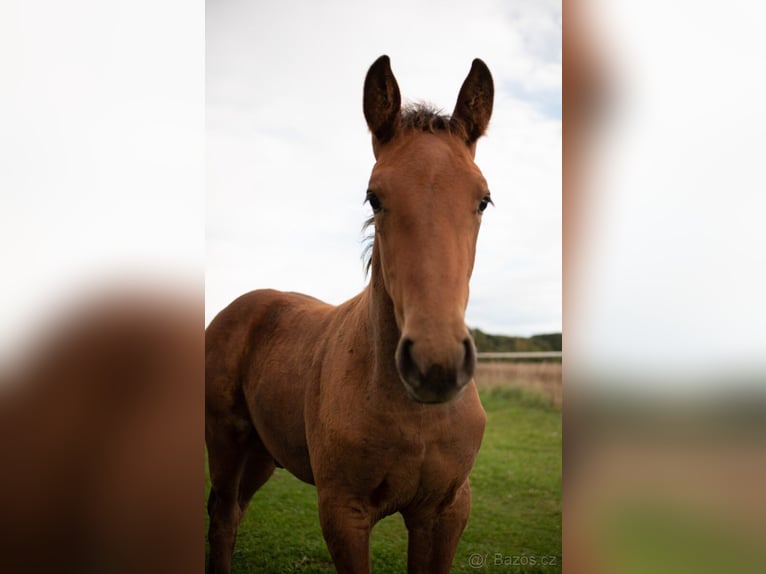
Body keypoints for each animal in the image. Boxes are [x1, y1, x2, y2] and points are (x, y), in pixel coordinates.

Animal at [207, 55, 496, 574]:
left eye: (483, 199)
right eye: (373, 197)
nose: (435, 364)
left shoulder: (445, 512)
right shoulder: (344, 514)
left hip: (261, 454)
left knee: (234, 514)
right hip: (225, 444)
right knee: (222, 519)